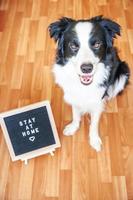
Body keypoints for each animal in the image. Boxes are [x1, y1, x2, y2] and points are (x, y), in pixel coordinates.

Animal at [48, 16, 129, 152]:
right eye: (73, 45)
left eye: (97, 44)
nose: (86, 68)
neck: (84, 86)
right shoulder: (73, 95)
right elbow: (75, 114)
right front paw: (73, 127)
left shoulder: (97, 101)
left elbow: (94, 123)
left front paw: (94, 140)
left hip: (124, 72)